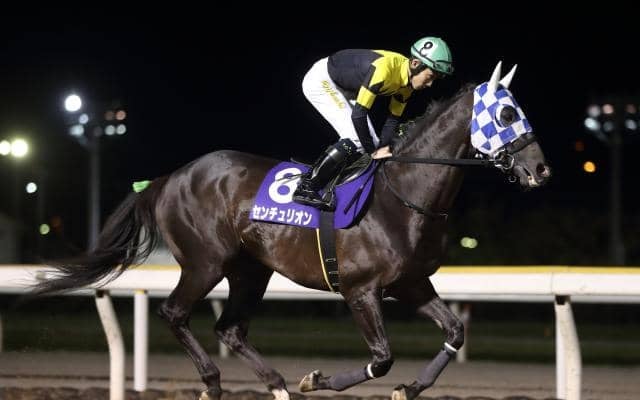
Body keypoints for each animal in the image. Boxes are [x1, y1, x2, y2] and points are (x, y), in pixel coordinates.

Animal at [32, 61, 551, 400]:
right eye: (507, 114)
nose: (541, 170)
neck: (402, 194)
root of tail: (170, 177)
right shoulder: (361, 290)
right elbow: (381, 357)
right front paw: (317, 379)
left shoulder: (412, 283)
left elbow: (455, 331)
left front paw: (411, 387)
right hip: (205, 263)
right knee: (174, 313)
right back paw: (215, 383)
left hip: (251, 270)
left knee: (230, 329)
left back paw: (277, 384)